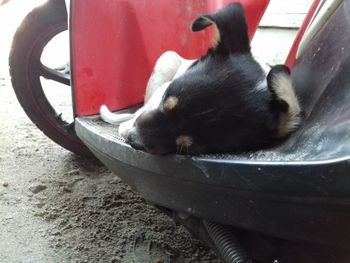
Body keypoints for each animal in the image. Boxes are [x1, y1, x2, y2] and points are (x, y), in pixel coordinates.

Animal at [100, 3, 300, 156]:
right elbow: (143, 110)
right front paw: (127, 126)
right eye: (165, 101)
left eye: (188, 147)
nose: (132, 138)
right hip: (167, 59)